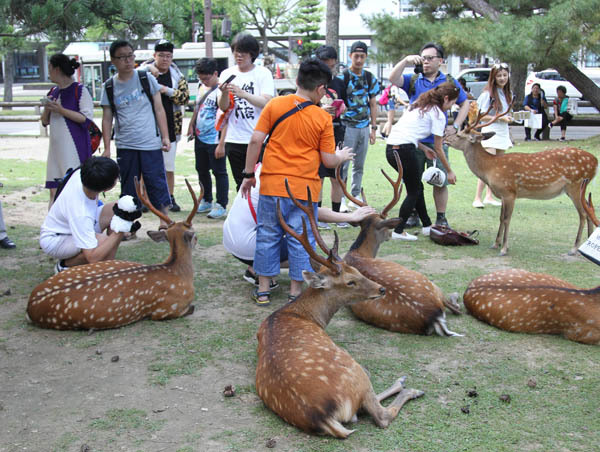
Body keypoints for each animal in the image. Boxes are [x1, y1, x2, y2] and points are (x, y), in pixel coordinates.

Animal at [27, 178, 202, 330]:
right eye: (194, 234)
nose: (197, 239)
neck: (177, 271)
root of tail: (30, 307)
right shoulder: (166, 309)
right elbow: (191, 308)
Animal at [255, 185, 424, 436]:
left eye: (356, 269)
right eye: (350, 281)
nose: (381, 289)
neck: (304, 315)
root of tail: (324, 417)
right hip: (356, 372)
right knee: (380, 414)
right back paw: (407, 386)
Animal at [288, 155, 462, 336]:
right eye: (386, 228)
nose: (391, 235)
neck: (360, 253)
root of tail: (434, 316)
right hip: (430, 283)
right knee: (455, 307)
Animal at [442, 100, 596, 254]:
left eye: (459, 135)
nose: (445, 139)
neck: (489, 168)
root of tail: (595, 162)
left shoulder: (510, 191)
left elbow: (506, 219)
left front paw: (504, 248)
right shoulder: (503, 194)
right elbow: (500, 218)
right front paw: (495, 244)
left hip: (575, 184)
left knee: (583, 214)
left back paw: (574, 248)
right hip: (578, 188)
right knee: (589, 209)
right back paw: (585, 246)